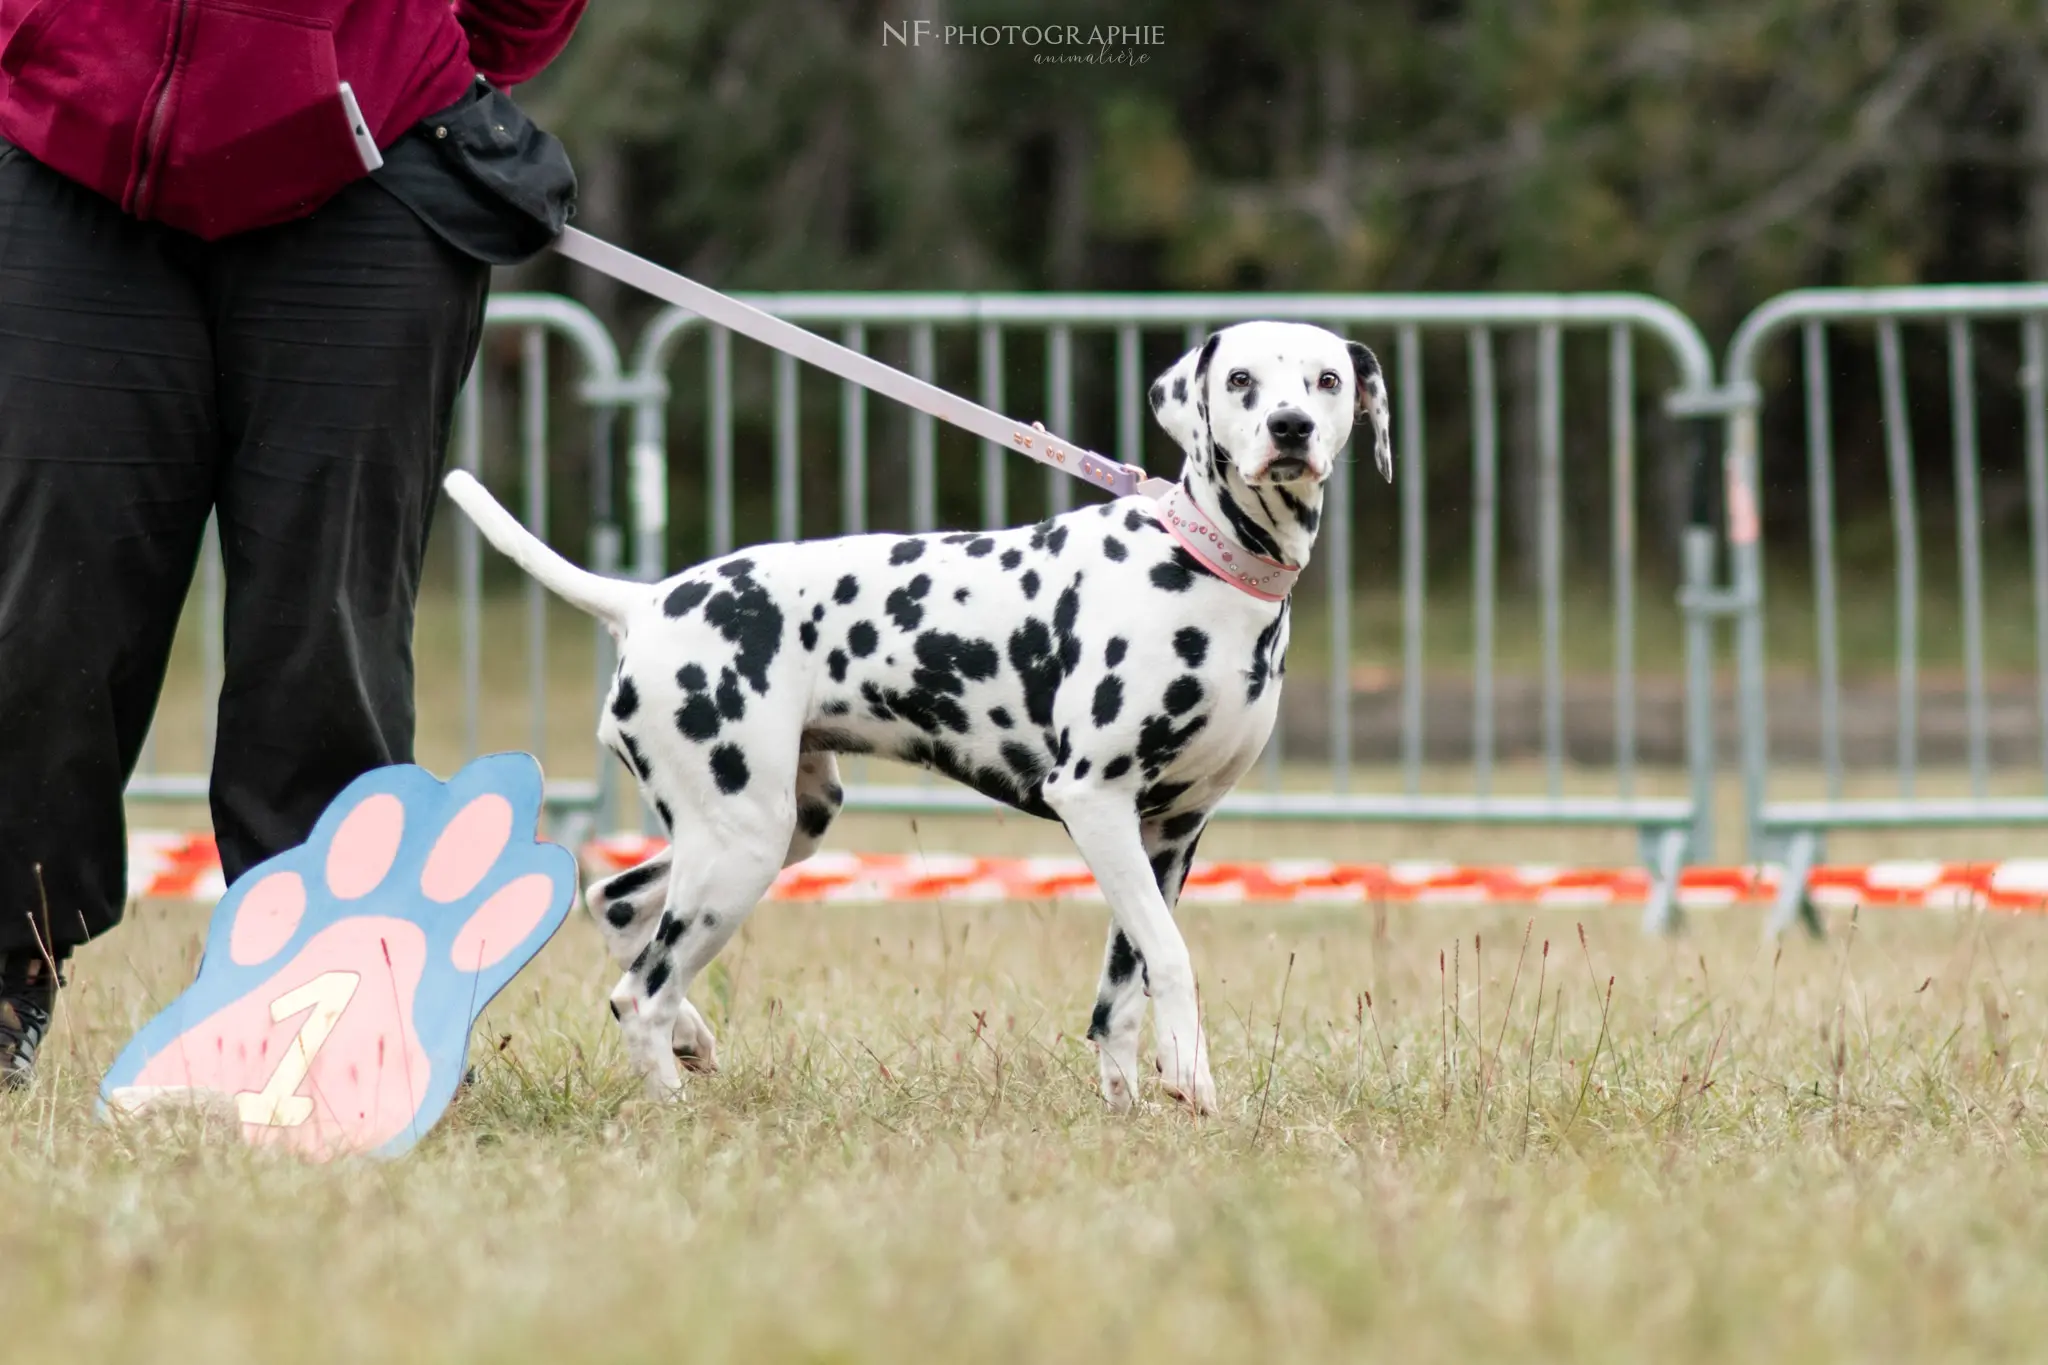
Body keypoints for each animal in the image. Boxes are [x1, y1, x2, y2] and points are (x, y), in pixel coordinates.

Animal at [438, 325, 1384, 1113]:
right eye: (1240, 379)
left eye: (1328, 379)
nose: (1291, 428)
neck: (1202, 560)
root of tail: (644, 601)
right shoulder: (1095, 802)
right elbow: (1174, 959)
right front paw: (1191, 1075)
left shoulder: (1169, 832)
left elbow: (1122, 990)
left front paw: (1130, 1108)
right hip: (742, 843)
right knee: (640, 989)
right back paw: (675, 1104)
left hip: (778, 826)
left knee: (618, 904)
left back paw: (691, 1035)